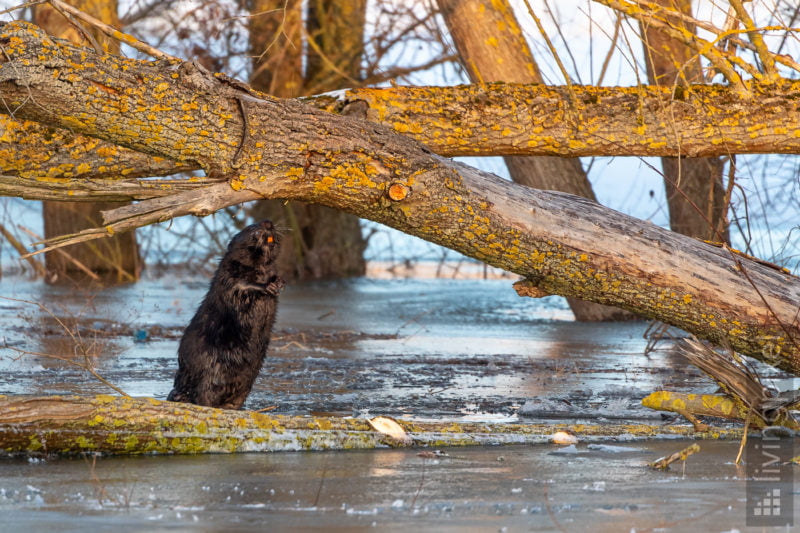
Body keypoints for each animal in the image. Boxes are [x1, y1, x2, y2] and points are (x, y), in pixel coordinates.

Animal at [166, 218, 284, 410]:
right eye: (252, 228)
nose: (267, 223)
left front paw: (279, 282)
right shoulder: (227, 275)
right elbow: (239, 286)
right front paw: (269, 286)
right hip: (211, 372)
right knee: (203, 395)